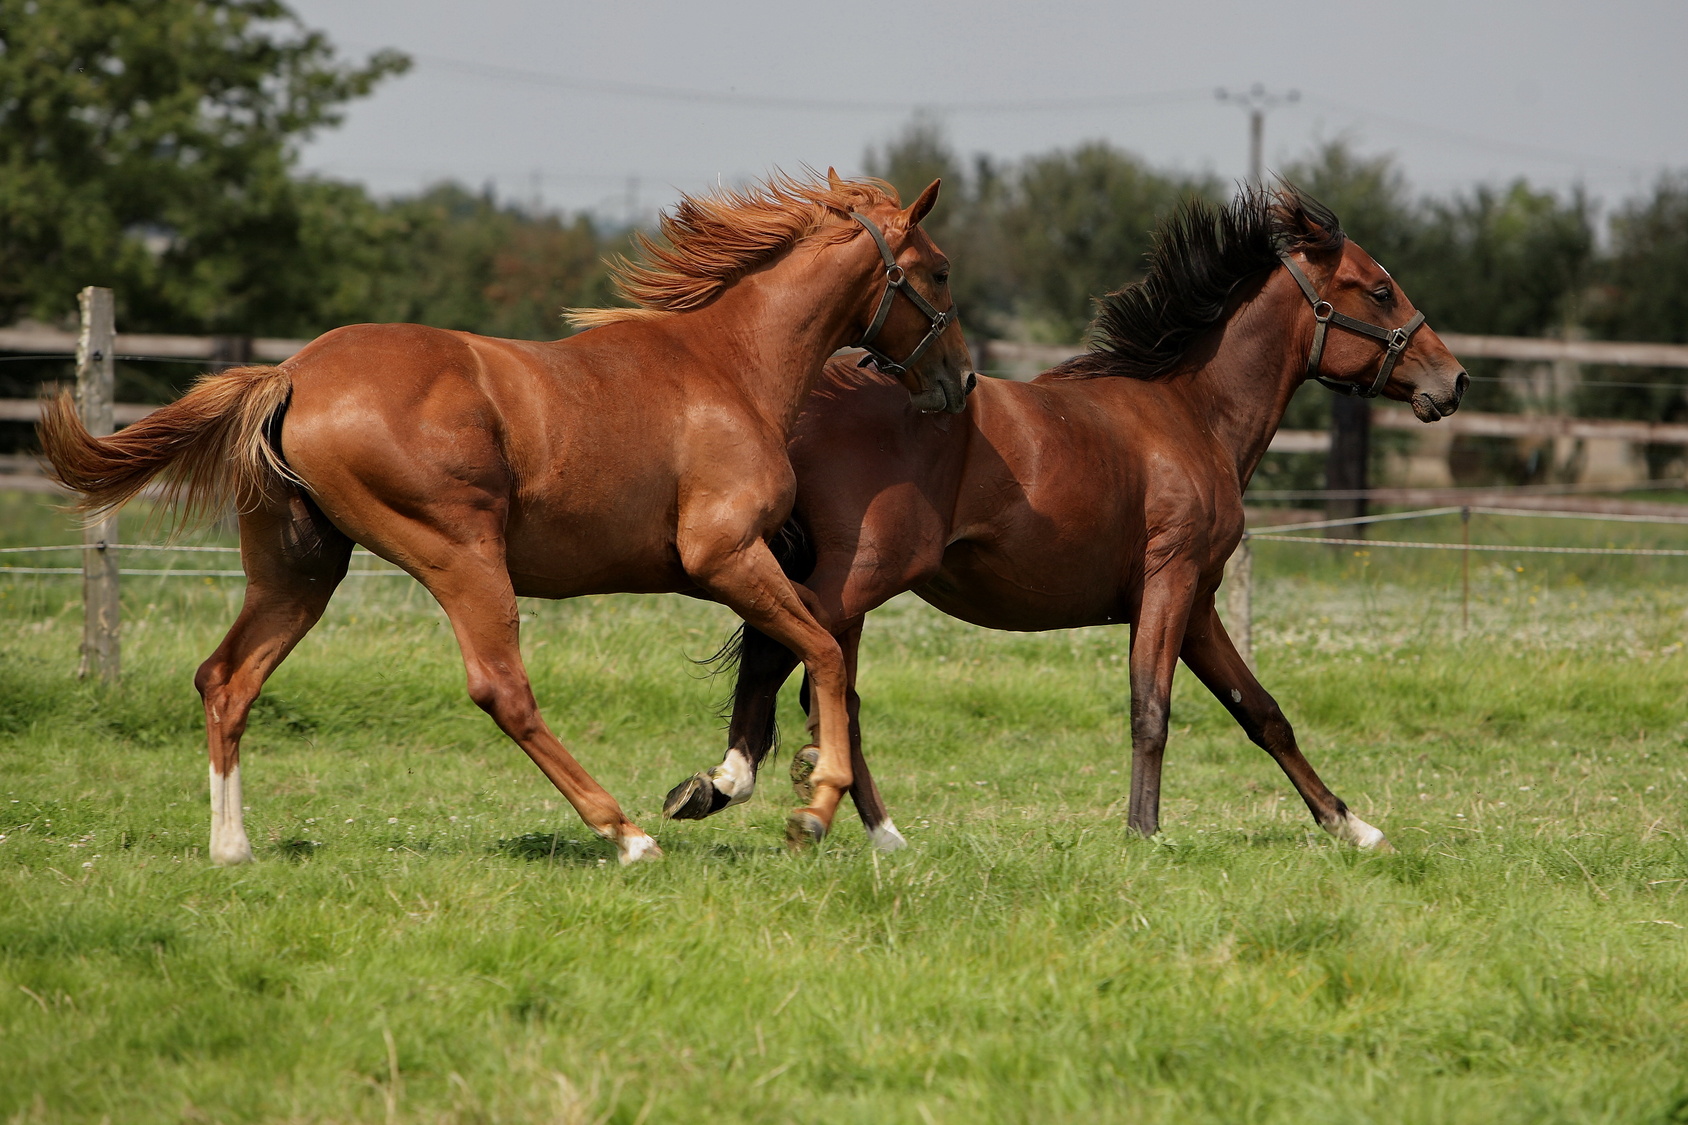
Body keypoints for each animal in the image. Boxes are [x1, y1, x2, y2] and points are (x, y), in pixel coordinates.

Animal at [42, 170, 979, 861]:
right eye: (938, 271)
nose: (961, 381)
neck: (731, 367)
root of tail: (291, 374)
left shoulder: (764, 563)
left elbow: (819, 665)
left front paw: (817, 802)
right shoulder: (724, 556)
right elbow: (823, 654)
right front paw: (813, 804)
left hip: (301, 569)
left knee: (227, 678)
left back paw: (231, 846)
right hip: (460, 555)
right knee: (502, 688)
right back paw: (625, 834)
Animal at [665, 185, 1471, 851]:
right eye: (1380, 289)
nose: (1455, 379)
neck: (1192, 415)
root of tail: (804, 404)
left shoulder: (1199, 605)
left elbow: (1263, 712)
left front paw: (1353, 826)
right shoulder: (1170, 582)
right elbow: (1152, 708)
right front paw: (1143, 832)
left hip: (851, 585)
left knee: (820, 678)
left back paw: (853, 823)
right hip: (864, 573)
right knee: (793, 658)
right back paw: (746, 787)